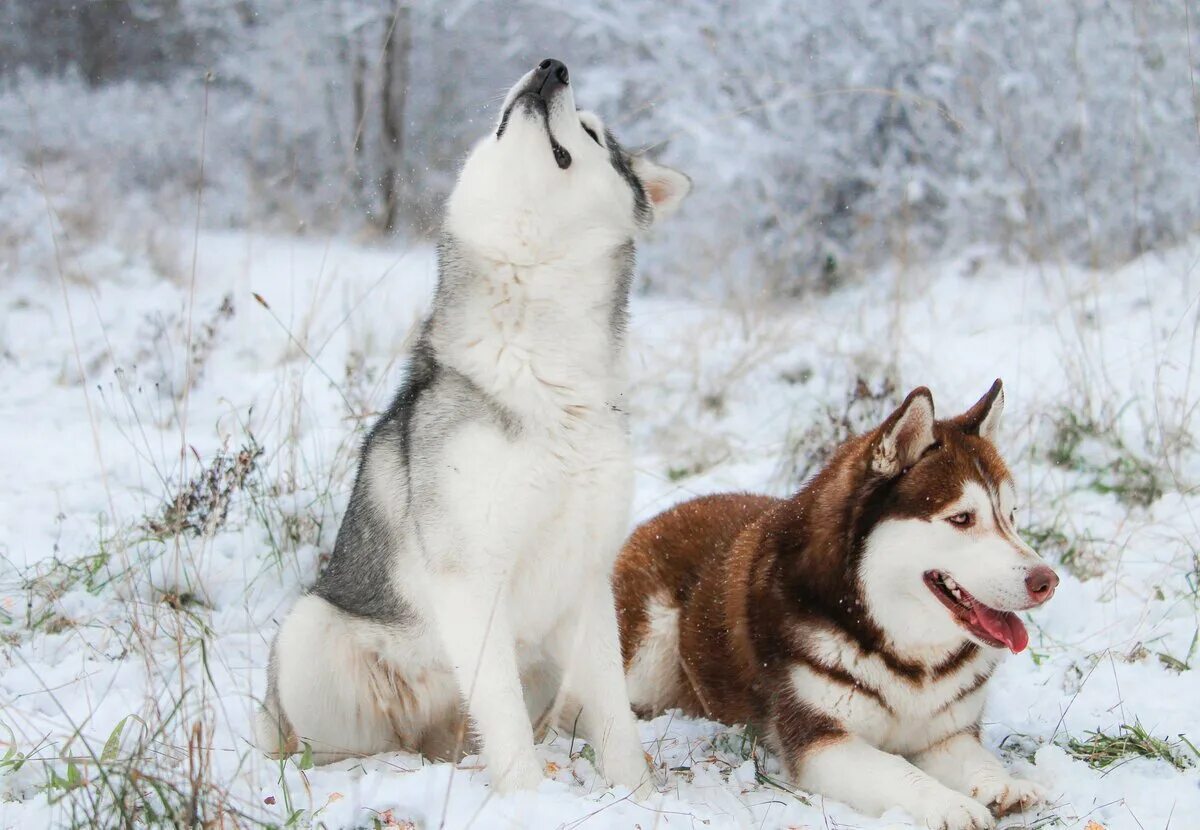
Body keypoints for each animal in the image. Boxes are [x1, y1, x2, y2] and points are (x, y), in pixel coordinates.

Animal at [255, 56, 686, 791]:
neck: (541, 370)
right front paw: (528, 799)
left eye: (593, 134)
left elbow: (616, 721)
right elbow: (505, 718)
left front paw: (635, 794)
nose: (550, 66)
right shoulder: (471, 576)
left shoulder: (587, 578)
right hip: (312, 635)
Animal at [614, 381, 1056, 830]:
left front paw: (1003, 785)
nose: (1047, 582)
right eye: (962, 518)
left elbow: (977, 760)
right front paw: (951, 804)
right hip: (647, 655)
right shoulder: (820, 740)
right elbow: (897, 770)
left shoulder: (945, 734)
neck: (908, 657)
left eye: (1011, 516)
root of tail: (664, 516)